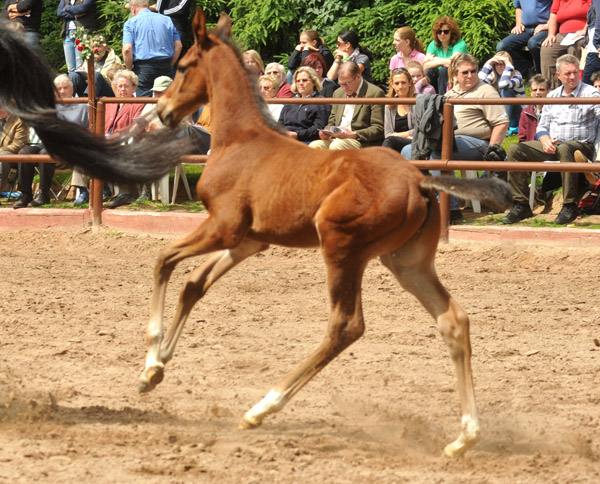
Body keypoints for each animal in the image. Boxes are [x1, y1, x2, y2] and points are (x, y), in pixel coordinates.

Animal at [139, 11, 510, 458]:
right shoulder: (248, 240)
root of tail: (420, 180)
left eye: (181, 67)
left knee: (345, 326)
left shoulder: (223, 227)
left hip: (341, 247)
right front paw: (154, 371)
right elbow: (194, 284)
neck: (240, 141)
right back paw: (464, 437)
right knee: (453, 320)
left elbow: (163, 261)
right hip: (406, 262)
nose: (162, 111)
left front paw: (151, 360)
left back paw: (261, 408)